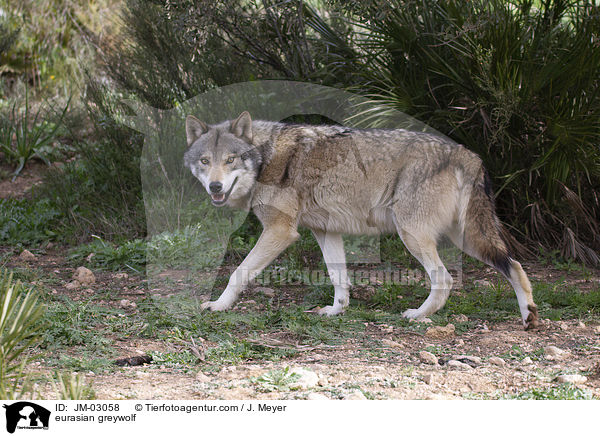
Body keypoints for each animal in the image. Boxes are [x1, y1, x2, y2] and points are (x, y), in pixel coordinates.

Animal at [183, 110, 540, 328]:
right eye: (205, 161)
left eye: (230, 160)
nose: (215, 186)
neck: (265, 157)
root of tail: (468, 154)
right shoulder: (325, 232)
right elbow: (339, 278)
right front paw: (336, 310)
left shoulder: (280, 232)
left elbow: (237, 273)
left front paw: (218, 306)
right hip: (467, 239)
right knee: (515, 266)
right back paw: (529, 317)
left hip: (414, 235)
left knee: (445, 279)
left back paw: (417, 314)